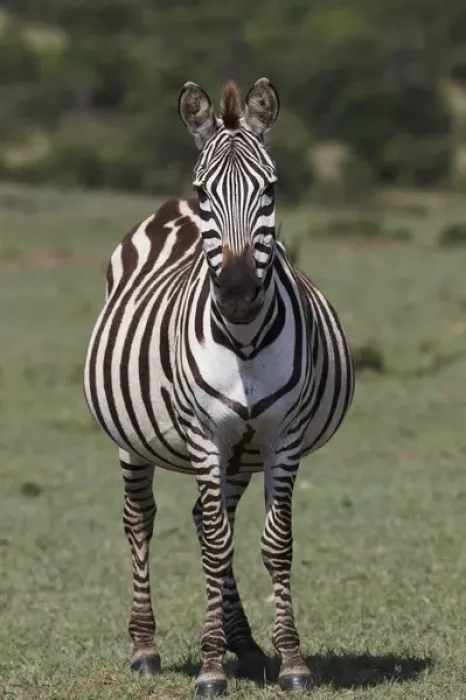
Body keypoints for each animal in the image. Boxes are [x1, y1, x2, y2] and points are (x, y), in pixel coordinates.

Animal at [83, 78, 355, 697]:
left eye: (271, 190)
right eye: (206, 192)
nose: (235, 292)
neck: (245, 341)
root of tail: (169, 209)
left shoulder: (282, 437)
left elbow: (272, 544)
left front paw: (291, 660)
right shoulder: (205, 434)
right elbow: (212, 545)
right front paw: (209, 668)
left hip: (240, 452)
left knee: (210, 520)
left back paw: (247, 646)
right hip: (134, 440)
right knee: (142, 521)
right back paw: (146, 648)